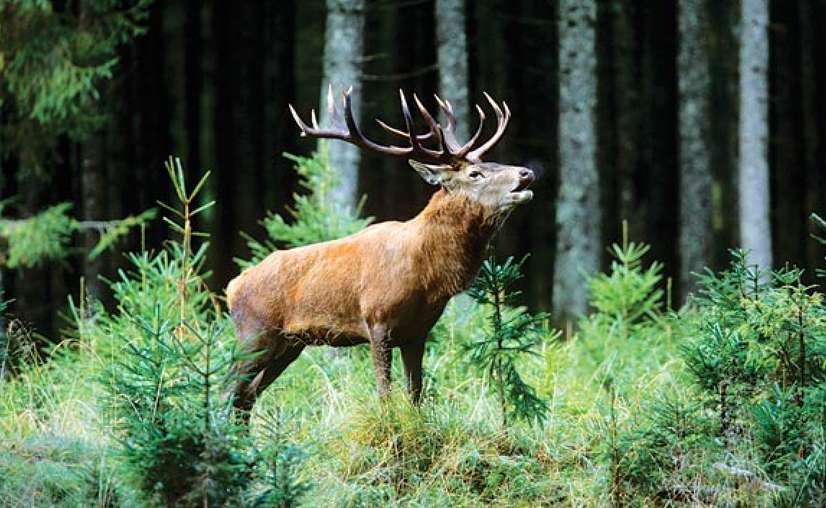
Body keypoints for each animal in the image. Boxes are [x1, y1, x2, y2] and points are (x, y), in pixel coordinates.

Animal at [225, 85, 536, 414]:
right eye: (475, 174)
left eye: (493, 163)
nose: (526, 173)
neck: (426, 276)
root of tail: (233, 286)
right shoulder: (377, 321)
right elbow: (384, 393)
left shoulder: (418, 333)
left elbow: (415, 394)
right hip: (255, 332)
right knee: (228, 389)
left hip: (289, 344)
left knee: (246, 396)